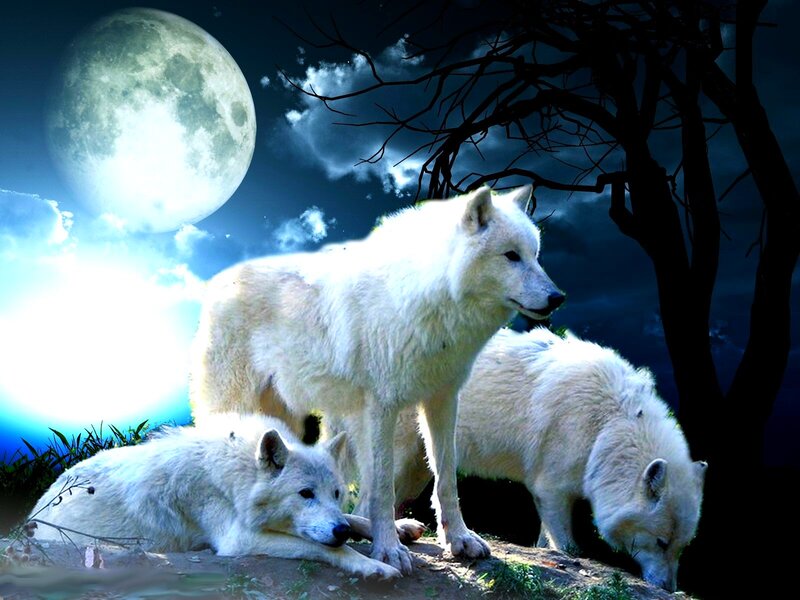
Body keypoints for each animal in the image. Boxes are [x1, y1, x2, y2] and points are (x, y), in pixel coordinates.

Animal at [29, 413, 423, 579]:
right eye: (305, 494)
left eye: (337, 493)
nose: (339, 531)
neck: (237, 477)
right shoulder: (239, 541)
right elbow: (330, 549)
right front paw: (374, 566)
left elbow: (357, 517)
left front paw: (398, 530)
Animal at [190, 185, 564, 573]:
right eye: (511, 256)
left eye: (535, 255)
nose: (557, 297)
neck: (430, 300)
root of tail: (220, 282)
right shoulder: (382, 407)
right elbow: (383, 487)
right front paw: (388, 550)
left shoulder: (443, 398)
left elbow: (446, 478)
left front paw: (459, 540)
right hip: (241, 408)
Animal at [374, 327, 706, 591]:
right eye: (661, 542)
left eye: (681, 547)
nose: (668, 588)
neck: (608, 425)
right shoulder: (550, 490)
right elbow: (569, 547)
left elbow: (547, 546)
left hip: (418, 471)